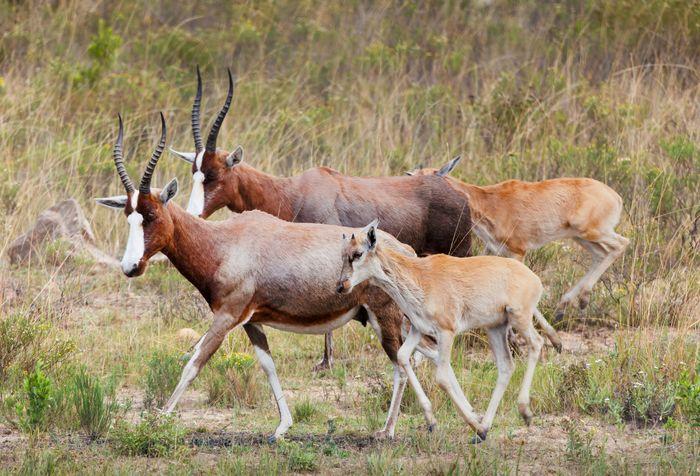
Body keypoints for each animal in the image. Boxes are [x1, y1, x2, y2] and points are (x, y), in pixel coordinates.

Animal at [95, 113, 438, 440]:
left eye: (151, 215)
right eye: (129, 216)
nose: (130, 267)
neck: (225, 242)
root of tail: (403, 250)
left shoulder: (227, 317)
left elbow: (193, 363)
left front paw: (159, 421)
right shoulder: (252, 321)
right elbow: (268, 366)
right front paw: (282, 427)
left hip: (385, 318)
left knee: (402, 362)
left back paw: (395, 429)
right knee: (423, 352)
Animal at [172, 67, 474, 372]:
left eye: (215, 175)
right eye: (195, 172)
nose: (193, 213)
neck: (293, 192)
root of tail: (460, 193)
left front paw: (326, 361)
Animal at [338, 220, 552, 442]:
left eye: (358, 253)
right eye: (343, 254)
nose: (341, 286)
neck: (421, 275)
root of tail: (534, 279)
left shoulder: (446, 332)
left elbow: (441, 376)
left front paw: (471, 424)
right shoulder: (417, 330)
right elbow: (403, 356)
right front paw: (432, 421)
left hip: (520, 319)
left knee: (536, 343)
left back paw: (523, 413)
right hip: (495, 328)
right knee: (506, 366)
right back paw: (485, 428)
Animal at [404, 158, 628, 322]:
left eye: (428, 176)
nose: (406, 177)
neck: (488, 200)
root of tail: (616, 197)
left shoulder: (518, 252)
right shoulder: (493, 251)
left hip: (591, 232)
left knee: (621, 244)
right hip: (581, 238)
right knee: (601, 254)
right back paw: (564, 308)